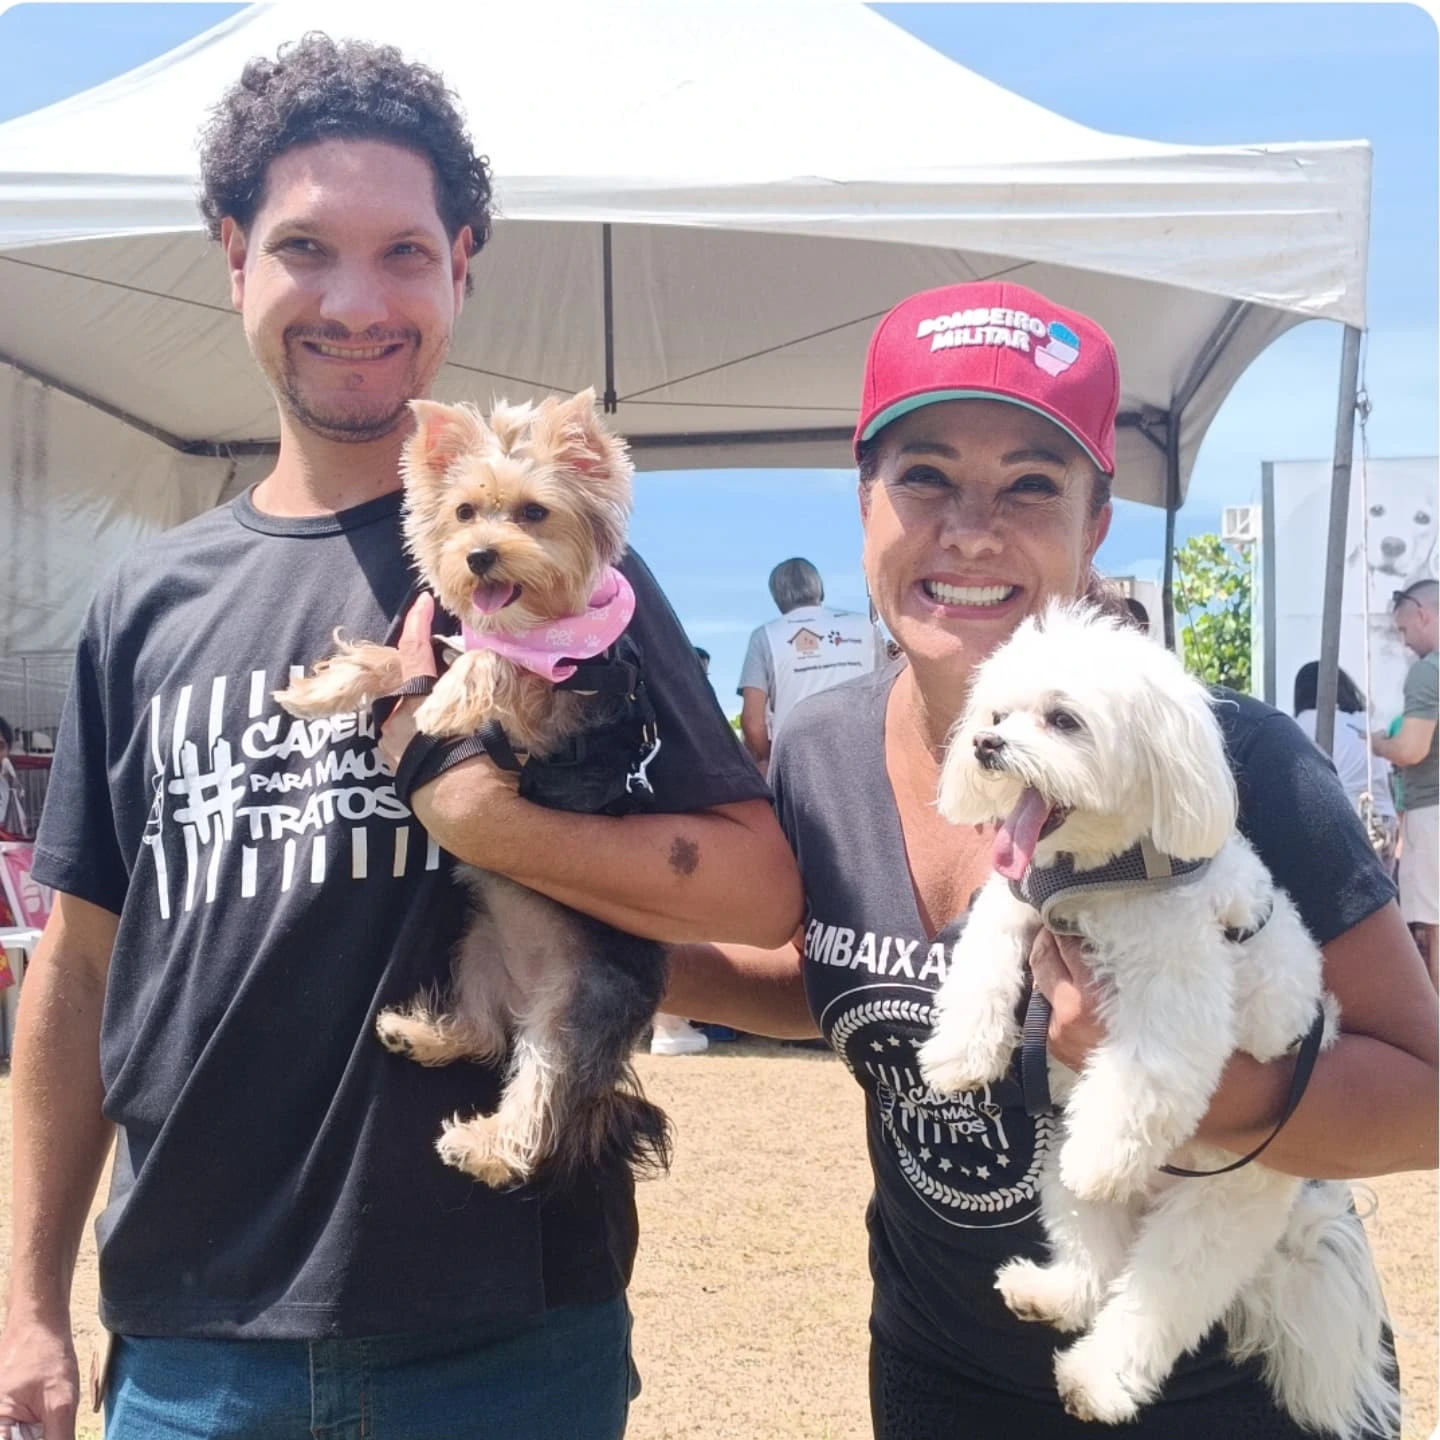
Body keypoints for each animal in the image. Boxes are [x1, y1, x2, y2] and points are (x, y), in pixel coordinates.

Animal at [275, 388, 670, 1190]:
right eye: (463, 513)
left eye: (534, 513)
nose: (480, 555)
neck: (528, 618)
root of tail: (530, 988)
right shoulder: (443, 645)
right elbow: (395, 662)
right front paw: (324, 689)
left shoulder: (562, 709)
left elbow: (498, 665)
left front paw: (448, 701)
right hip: (479, 950)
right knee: (488, 1032)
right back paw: (418, 1034)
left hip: (579, 1005)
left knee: (541, 1091)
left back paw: (488, 1148)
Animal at [916, 603, 1397, 1437]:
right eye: (996, 715)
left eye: (1063, 719)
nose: (984, 744)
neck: (1100, 875)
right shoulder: (1014, 905)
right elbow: (980, 962)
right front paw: (958, 1053)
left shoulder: (1178, 995)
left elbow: (1143, 1078)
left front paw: (1105, 1151)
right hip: (1064, 1182)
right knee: (1094, 1266)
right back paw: (1048, 1293)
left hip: (1213, 1222)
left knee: (1150, 1305)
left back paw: (1098, 1380)